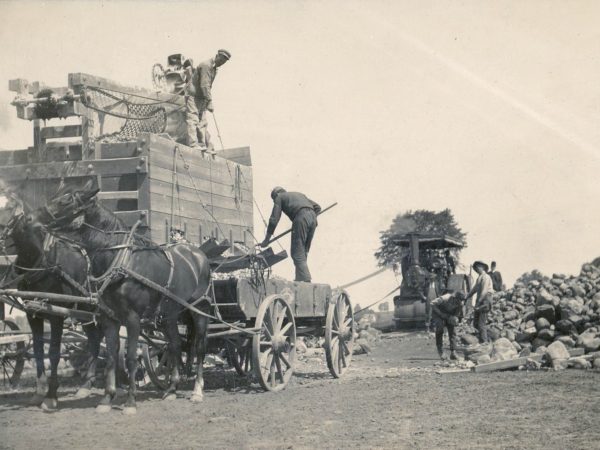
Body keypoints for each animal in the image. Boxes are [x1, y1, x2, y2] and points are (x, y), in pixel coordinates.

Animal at [0, 195, 103, 410]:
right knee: (95, 340)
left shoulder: (57, 315)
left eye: (7, 207)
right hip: (85, 313)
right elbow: (39, 350)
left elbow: (54, 352)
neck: (43, 264)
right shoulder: (33, 315)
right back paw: (86, 385)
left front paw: (51, 395)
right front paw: (39, 392)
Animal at [38, 181, 212, 414]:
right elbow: (112, 356)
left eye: (66, 200)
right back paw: (172, 389)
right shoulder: (109, 318)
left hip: (199, 310)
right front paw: (107, 399)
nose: (37, 214)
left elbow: (130, 358)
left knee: (200, 347)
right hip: (168, 315)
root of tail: (199, 255)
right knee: (175, 345)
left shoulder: (132, 318)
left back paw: (197, 391)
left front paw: (130, 401)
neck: (121, 260)